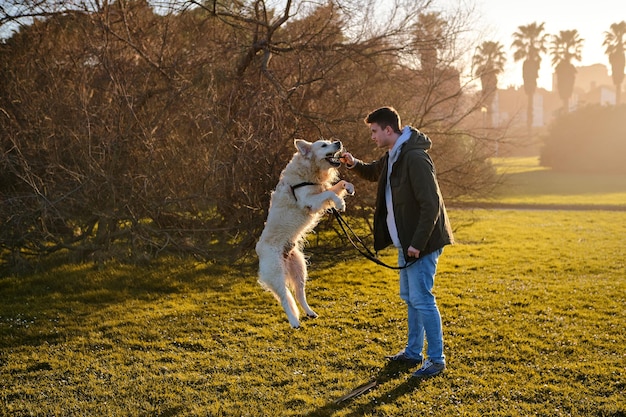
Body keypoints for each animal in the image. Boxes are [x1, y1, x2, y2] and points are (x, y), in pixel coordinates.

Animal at [252, 138, 352, 326]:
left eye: (329, 141)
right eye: (323, 145)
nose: (338, 142)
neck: (309, 171)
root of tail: (259, 252)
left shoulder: (320, 191)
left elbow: (338, 185)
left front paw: (349, 187)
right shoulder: (309, 201)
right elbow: (329, 193)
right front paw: (340, 203)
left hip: (300, 269)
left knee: (299, 295)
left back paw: (311, 313)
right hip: (277, 275)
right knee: (285, 299)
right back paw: (294, 322)